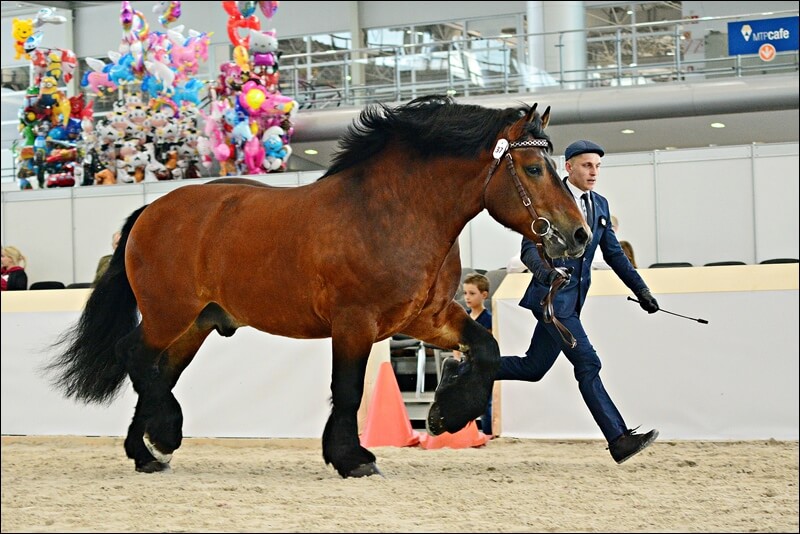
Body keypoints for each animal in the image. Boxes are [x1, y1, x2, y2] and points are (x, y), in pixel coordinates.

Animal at [47, 95, 592, 482]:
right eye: (533, 169)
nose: (578, 235)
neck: (394, 214)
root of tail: (150, 211)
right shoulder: (355, 323)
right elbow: (348, 389)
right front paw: (352, 458)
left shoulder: (426, 318)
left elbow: (486, 347)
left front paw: (445, 414)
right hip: (169, 315)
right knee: (135, 356)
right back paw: (163, 436)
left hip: (195, 325)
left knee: (157, 373)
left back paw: (146, 451)